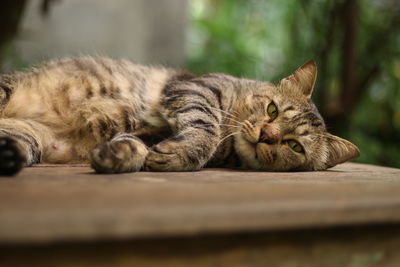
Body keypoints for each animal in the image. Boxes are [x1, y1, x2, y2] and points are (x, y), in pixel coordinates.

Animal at [0, 56, 360, 176]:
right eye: (272, 109)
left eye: (294, 146)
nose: (266, 135)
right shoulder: (195, 88)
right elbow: (205, 126)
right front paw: (187, 151)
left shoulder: (150, 133)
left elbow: (136, 145)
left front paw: (117, 155)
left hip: (27, 139)